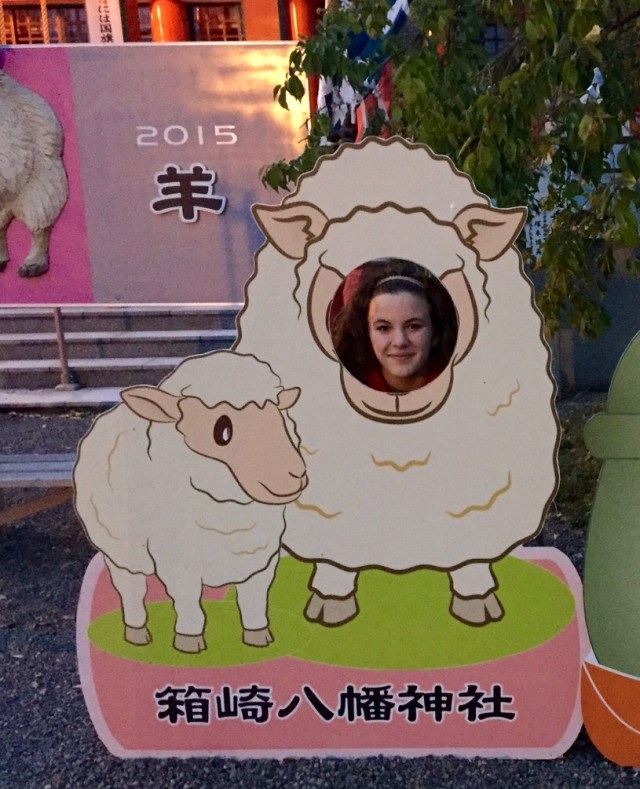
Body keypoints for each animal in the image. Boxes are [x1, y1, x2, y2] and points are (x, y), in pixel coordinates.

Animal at [73, 351, 307, 653]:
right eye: (222, 430)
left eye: (280, 417)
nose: (295, 474)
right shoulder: (178, 564)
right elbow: (188, 604)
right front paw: (188, 642)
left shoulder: (262, 560)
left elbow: (253, 601)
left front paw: (258, 637)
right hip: (119, 552)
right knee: (131, 590)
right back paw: (137, 633)